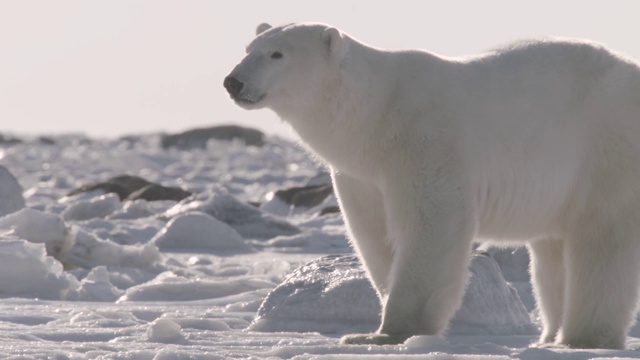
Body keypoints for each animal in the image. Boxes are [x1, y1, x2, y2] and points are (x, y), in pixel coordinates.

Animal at [226, 22, 640, 348]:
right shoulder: (361, 175)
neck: (375, 114)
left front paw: (387, 332)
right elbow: (372, 234)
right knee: (552, 250)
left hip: (606, 147)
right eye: (248, 50)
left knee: (602, 239)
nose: (233, 81)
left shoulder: (424, 139)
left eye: (277, 54)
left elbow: (433, 222)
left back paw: (584, 337)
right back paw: (550, 336)